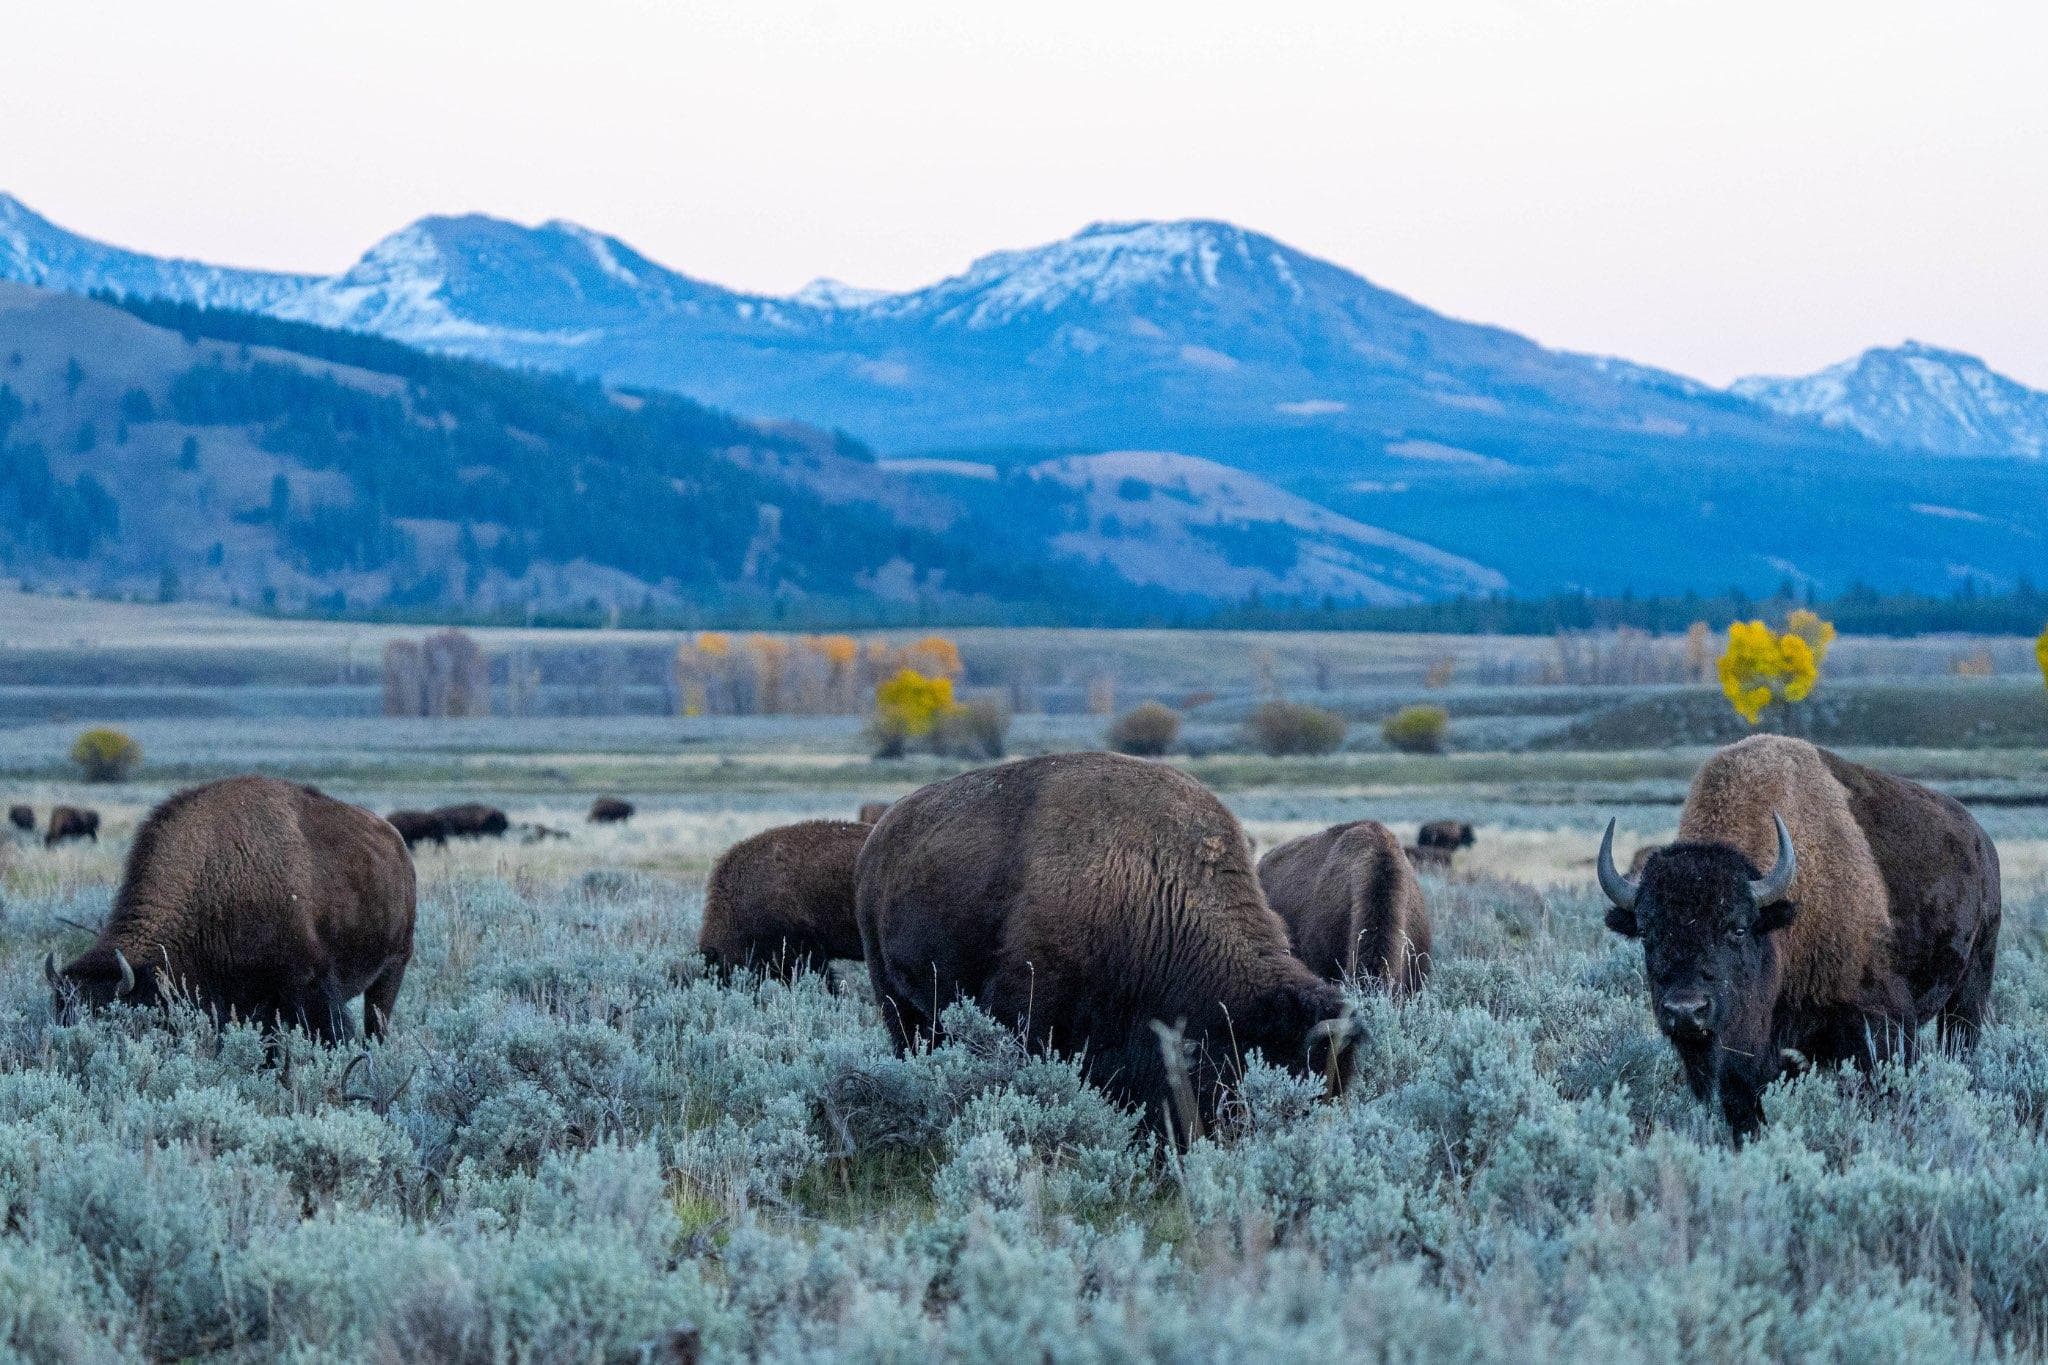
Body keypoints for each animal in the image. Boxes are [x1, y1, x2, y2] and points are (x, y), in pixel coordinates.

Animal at [47, 775, 416, 1042]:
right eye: (61, 1013)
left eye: (109, 1018)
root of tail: (396, 844)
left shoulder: (308, 987)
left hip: (393, 968)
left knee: (377, 1024)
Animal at [1598, 735, 2000, 1137]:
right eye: (1647, 933)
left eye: (1737, 928)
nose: (1685, 1011)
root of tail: (1980, 839)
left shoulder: (1882, 1023)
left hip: (1970, 989)